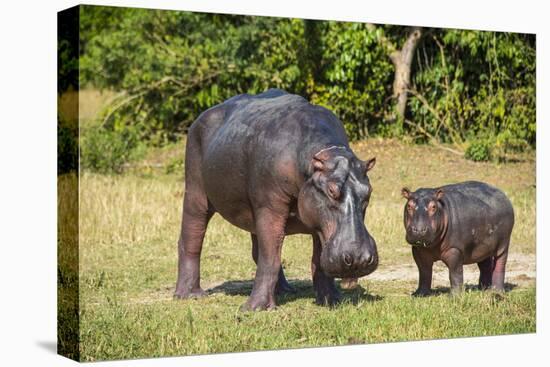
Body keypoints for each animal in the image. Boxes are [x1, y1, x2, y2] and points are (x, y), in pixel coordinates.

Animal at [177, 88, 380, 310]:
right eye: (331, 190)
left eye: (368, 191)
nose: (360, 258)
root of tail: (200, 117)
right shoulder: (270, 206)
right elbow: (270, 258)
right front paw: (254, 308)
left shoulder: (316, 217)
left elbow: (314, 260)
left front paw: (331, 300)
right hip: (196, 191)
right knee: (192, 237)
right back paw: (190, 295)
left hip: (253, 212)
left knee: (262, 248)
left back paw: (284, 290)